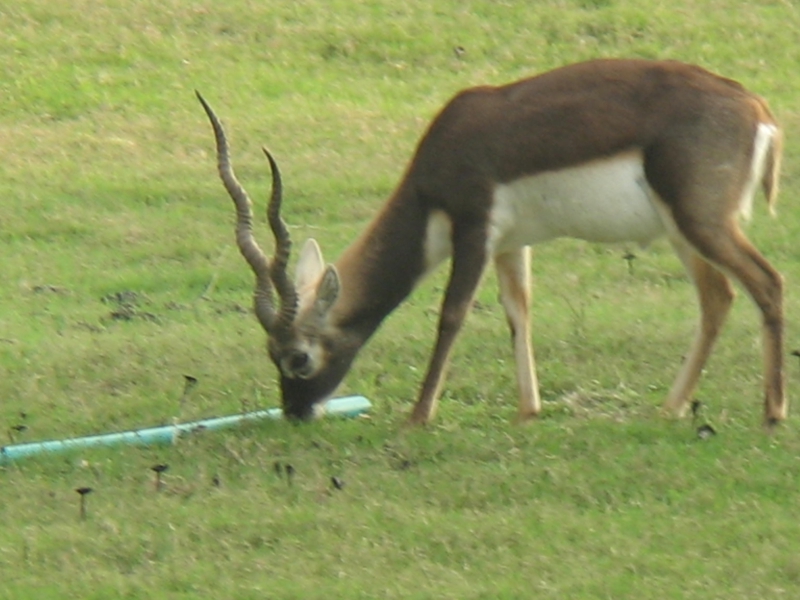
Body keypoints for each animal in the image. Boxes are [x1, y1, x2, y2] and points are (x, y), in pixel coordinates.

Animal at [197, 58, 784, 426]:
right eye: (268, 352)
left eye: (297, 357)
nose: (296, 413)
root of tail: (757, 108)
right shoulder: (510, 243)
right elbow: (518, 311)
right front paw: (529, 410)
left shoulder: (473, 227)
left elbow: (452, 315)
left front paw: (418, 416)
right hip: (683, 231)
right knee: (719, 298)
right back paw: (670, 408)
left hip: (701, 225)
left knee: (768, 283)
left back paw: (772, 413)